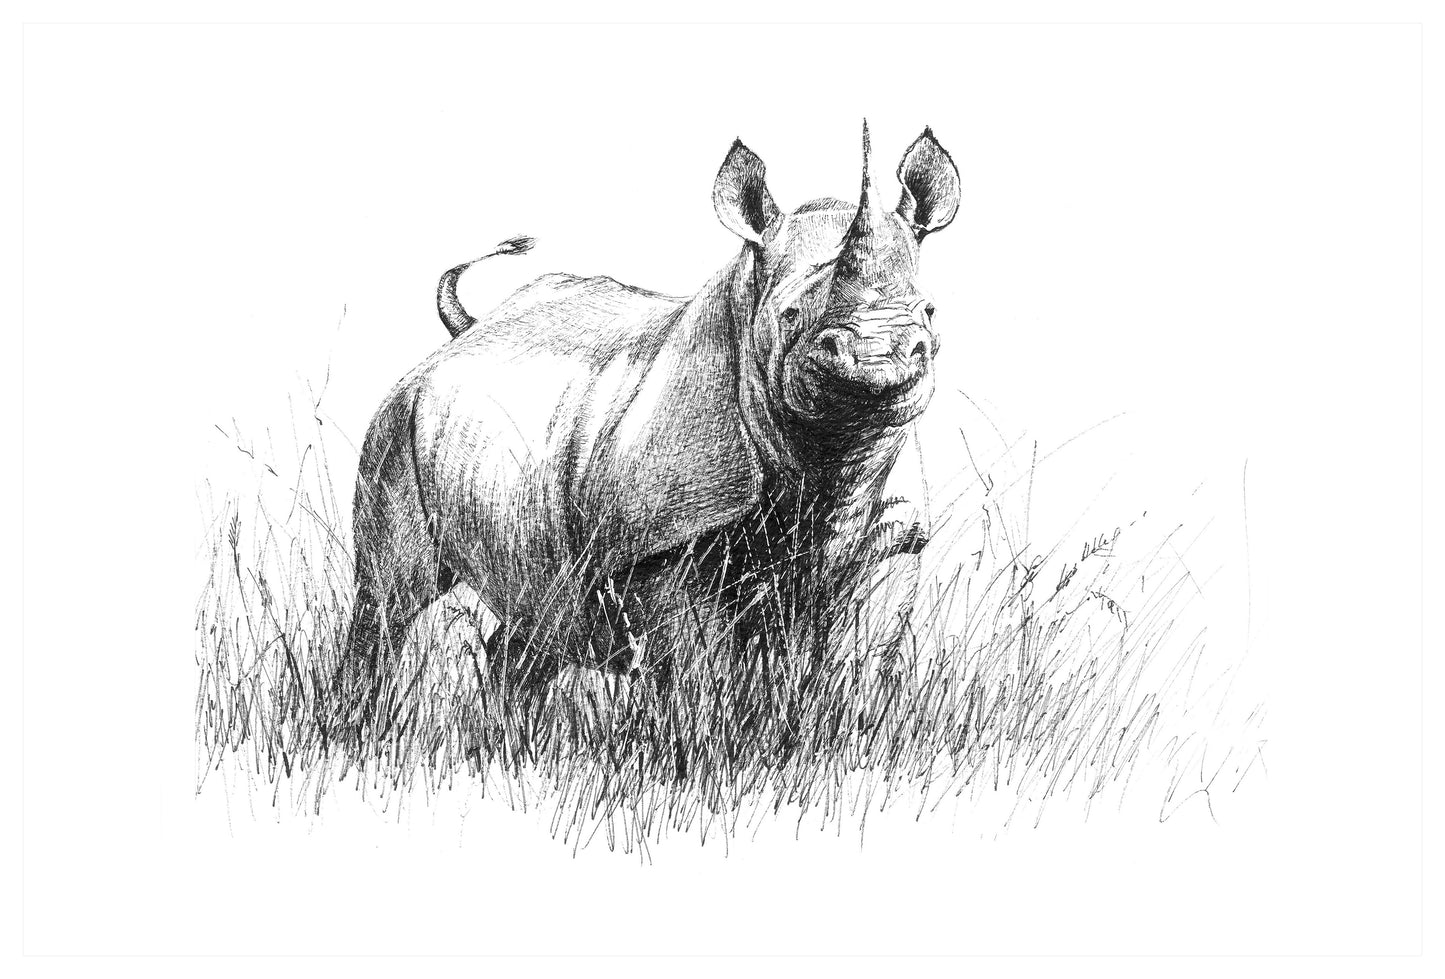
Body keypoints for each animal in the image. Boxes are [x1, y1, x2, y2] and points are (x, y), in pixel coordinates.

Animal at [336, 124, 961, 725]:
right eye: (789, 315)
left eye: (930, 313)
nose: (879, 355)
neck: (830, 458)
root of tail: (465, 333)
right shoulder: (656, 546)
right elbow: (694, 672)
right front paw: (701, 748)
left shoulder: (890, 536)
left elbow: (845, 659)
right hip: (399, 420)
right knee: (390, 599)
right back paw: (357, 726)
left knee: (537, 626)